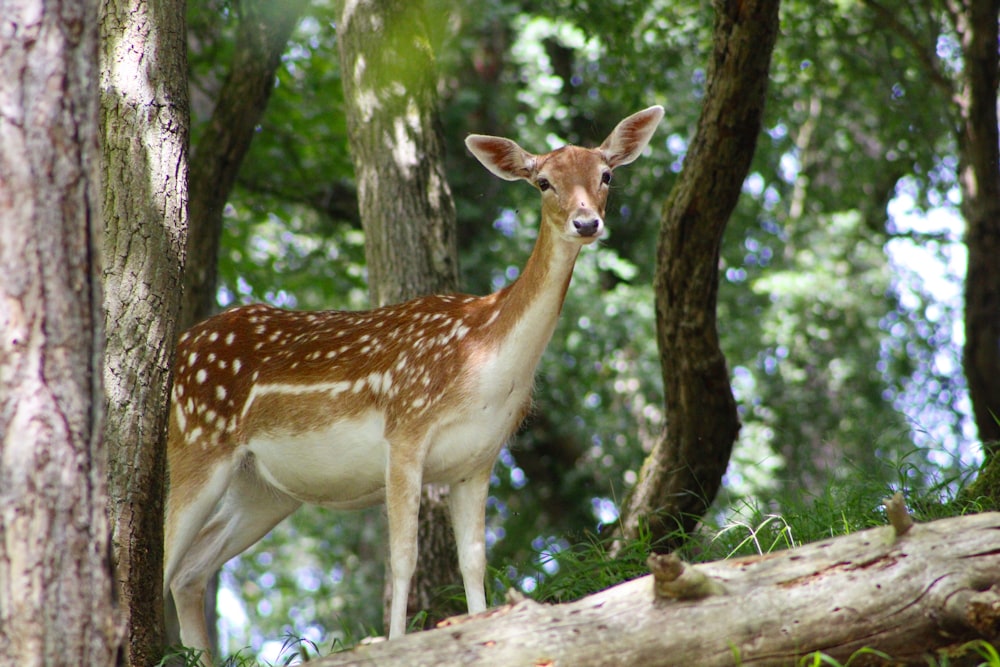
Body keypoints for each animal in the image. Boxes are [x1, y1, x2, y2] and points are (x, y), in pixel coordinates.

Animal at [164, 107, 664, 660]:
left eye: (606, 175)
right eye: (543, 182)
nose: (586, 222)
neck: (484, 361)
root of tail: (181, 344)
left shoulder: (478, 460)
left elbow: (474, 562)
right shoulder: (405, 430)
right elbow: (404, 557)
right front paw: (396, 642)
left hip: (263, 488)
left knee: (191, 571)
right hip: (194, 444)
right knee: (157, 560)